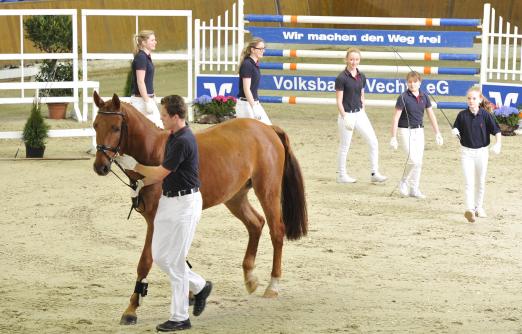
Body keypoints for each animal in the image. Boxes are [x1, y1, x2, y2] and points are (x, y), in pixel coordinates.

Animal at [91, 92, 306, 324]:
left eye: (115, 128)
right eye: (95, 125)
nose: (100, 166)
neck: (154, 153)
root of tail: (267, 129)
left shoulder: (156, 222)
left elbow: (146, 261)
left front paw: (131, 309)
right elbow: (178, 259)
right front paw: (193, 294)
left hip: (267, 192)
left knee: (276, 231)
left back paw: (273, 286)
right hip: (235, 197)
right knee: (256, 223)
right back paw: (250, 278)